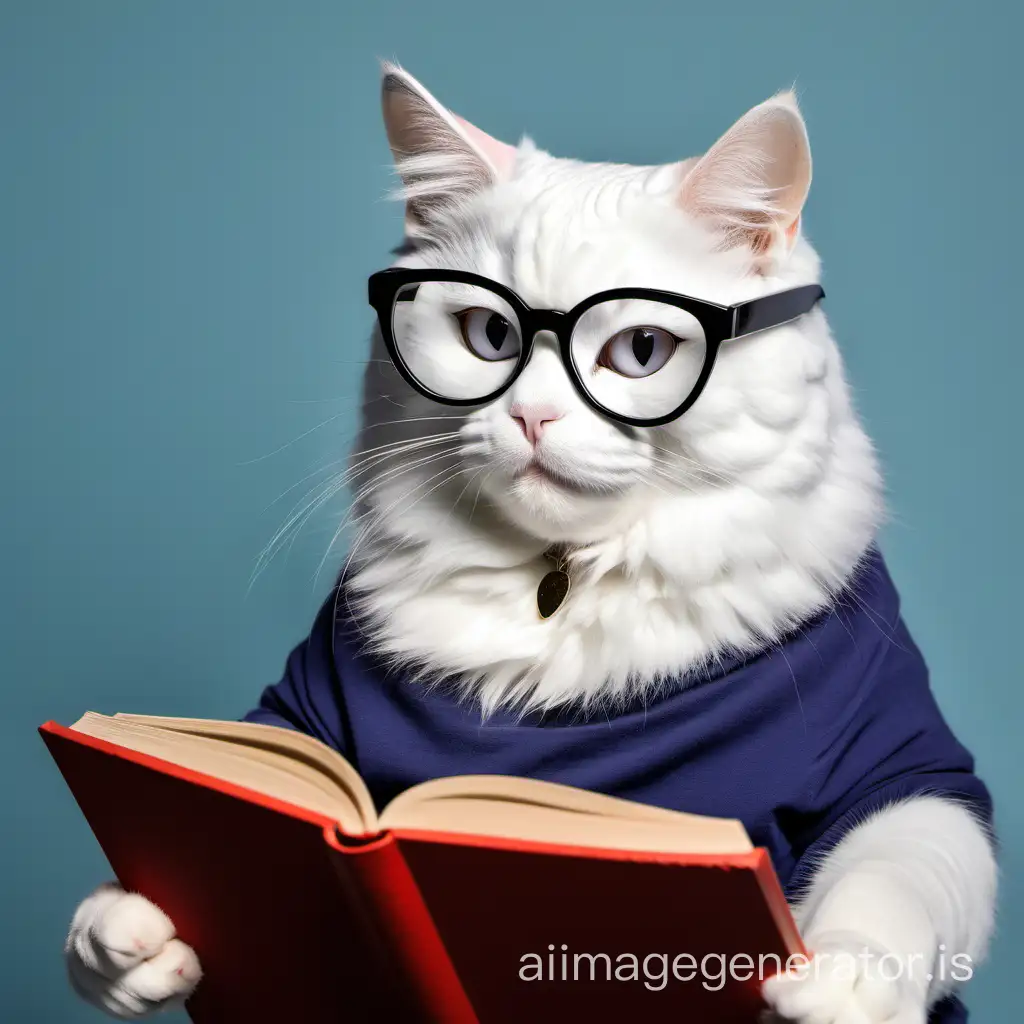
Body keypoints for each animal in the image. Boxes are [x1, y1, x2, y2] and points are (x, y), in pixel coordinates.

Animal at [64, 66, 991, 1024]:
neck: (563, 588)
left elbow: (897, 874)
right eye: (492, 337)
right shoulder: (303, 710)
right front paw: (122, 936)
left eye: (641, 349)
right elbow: (210, 786)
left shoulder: (899, 764)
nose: (532, 416)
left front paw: (843, 980)